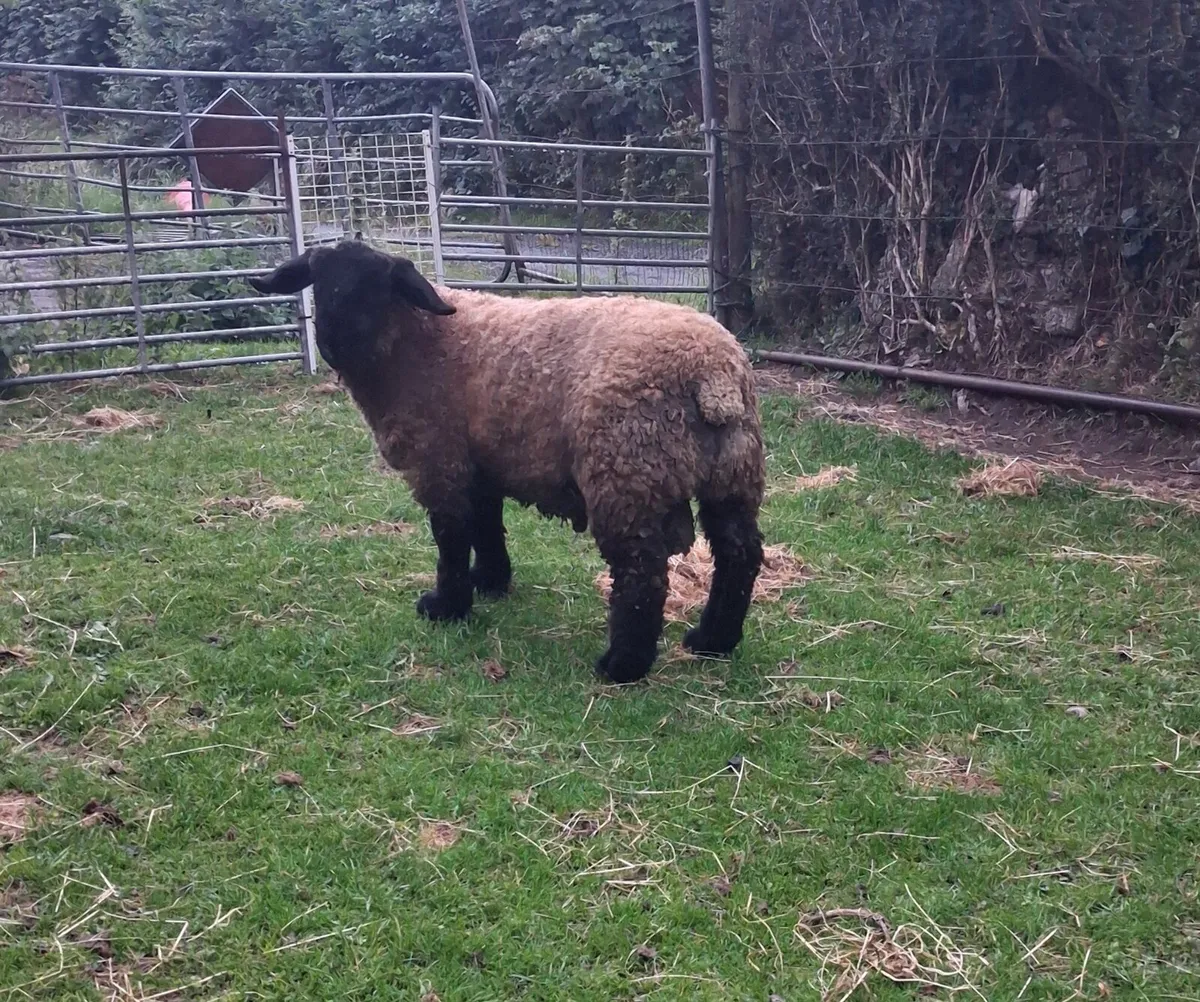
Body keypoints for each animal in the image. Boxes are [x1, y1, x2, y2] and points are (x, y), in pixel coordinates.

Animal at [249, 239, 766, 684]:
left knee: (642, 573)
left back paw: (622, 665)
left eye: (374, 287)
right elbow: (485, 523)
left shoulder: (441, 460)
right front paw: (491, 581)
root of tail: (712, 376)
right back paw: (713, 640)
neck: (416, 341)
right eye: (318, 282)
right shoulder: (481, 462)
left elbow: (451, 536)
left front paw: (446, 605)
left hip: (625, 472)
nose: (333, 343)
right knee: (739, 554)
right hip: (733, 476)